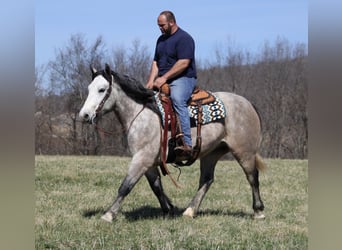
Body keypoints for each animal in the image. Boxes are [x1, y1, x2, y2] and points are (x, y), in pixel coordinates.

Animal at [79, 63, 266, 222]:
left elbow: (126, 186)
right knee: (207, 180)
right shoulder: (149, 162)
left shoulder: (142, 159)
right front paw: (169, 209)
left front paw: (109, 214)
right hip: (211, 153)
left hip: (244, 152)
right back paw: (190, 211)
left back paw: (258, 211)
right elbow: (156, 187)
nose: (84, 115)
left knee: (252, 177)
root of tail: (248, 103)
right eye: (89, 89)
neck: (143, 114)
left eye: (102, 89)